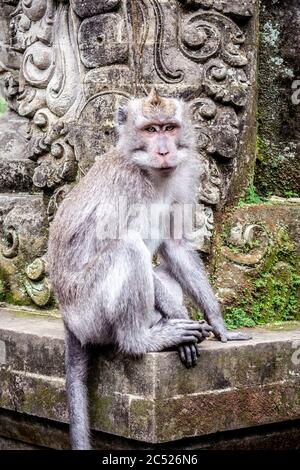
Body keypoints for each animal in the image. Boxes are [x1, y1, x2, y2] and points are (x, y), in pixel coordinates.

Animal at [48, 89, 251, 452]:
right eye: (151, 130)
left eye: (169, 127)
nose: (164, 150)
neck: (151, 172)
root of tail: (68, 321)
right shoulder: (127, 190)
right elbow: (132, 244)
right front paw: (181, 320)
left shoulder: (183, 177)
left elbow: (176, 246)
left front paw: (217, 324)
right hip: (88, 312)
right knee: (128, 248)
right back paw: (144, 338)